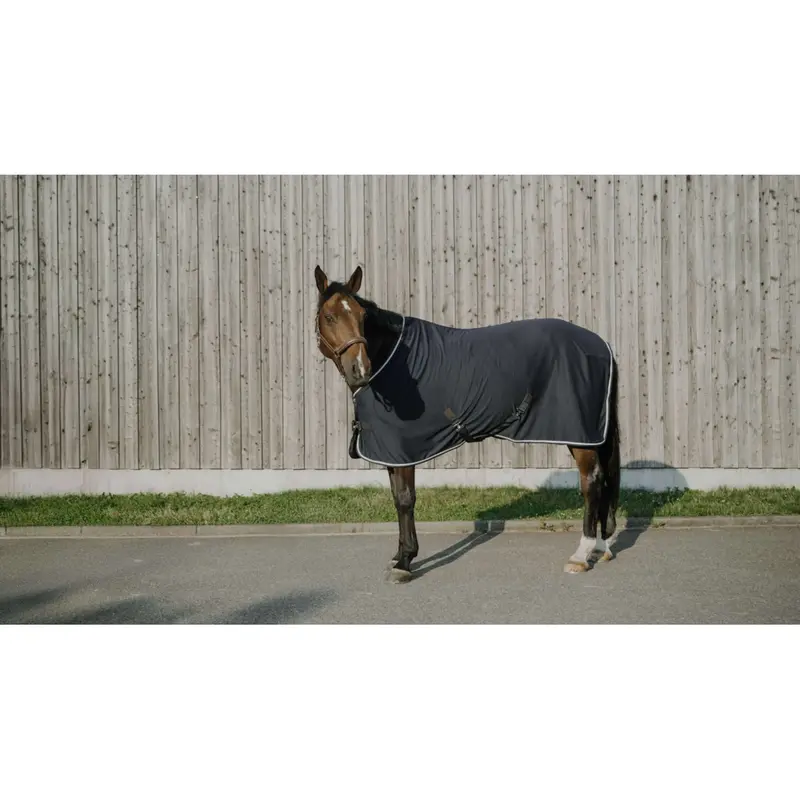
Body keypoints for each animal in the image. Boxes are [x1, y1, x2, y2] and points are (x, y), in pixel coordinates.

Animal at [314, 265, 621, 583]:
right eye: (329, 316)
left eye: (362, 317)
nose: (360, 369)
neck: (392, 359)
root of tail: (602, 345)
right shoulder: (391, 453)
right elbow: (397, 498)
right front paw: (399, 556)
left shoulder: (403, 450)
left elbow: (405, 499)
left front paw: (406, 562)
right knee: (605, 479)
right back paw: (601, 547)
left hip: (580, 434)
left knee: (592, 481)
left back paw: (581, 554)